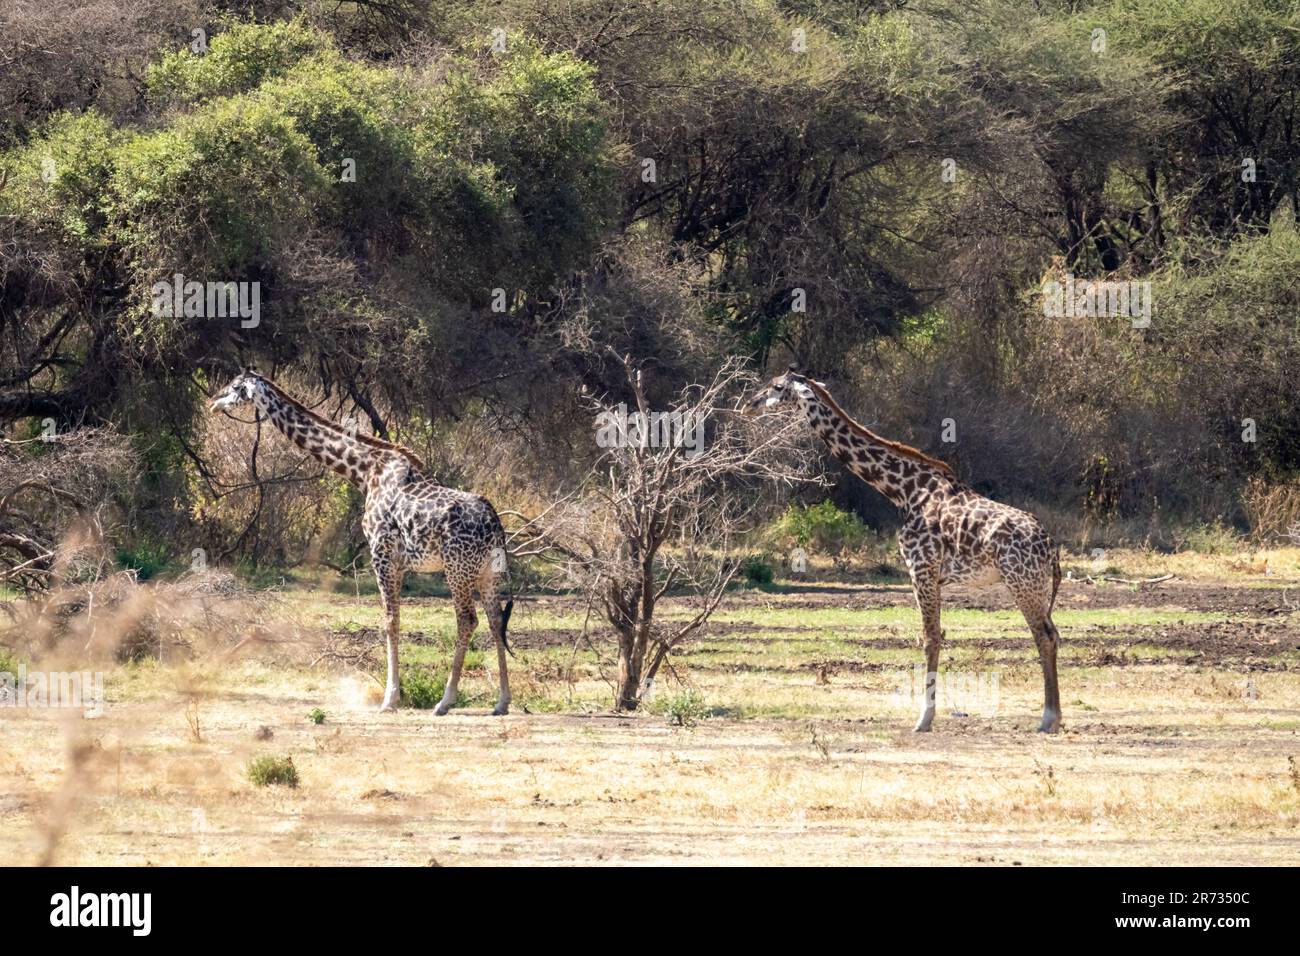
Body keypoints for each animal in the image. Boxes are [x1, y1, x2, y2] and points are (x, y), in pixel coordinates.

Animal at [210, 370, 514, 715]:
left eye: (235, 387)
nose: (213, 402)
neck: (365, 472)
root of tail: (494, 522)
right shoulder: (398, 562)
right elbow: (395, 620)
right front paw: (393, 695)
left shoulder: (382, 554)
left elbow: (390, 622)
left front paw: (389, 699)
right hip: (489, 572)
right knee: (495, 620)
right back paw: (502, 701)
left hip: (457, 569)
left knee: (467, 620)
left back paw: (445, 701)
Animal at [747, 369, 1062, 733]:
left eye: (777, 387)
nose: (749, 404)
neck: (904, 491)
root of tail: (1051, 547)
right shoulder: (932, 576)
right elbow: (934, 636)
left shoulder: (921, 569)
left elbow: (930, 638)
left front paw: (923, 719)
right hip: (1035, 586)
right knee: (1052, 634)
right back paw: (1053, 716)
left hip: (1022, 582)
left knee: (1044, 636)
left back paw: (1048, 718)